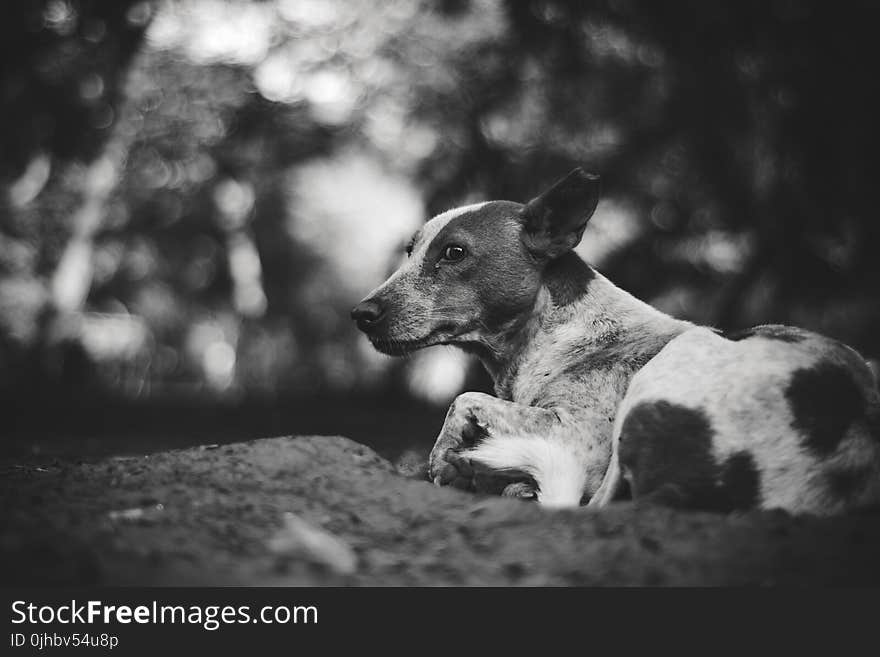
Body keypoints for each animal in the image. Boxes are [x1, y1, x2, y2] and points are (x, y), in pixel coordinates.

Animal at [350, 168, 880, 512]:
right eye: (410, 251)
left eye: (454, 253)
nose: (361, 314)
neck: (557, 333)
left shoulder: (576, 434)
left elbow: (463, 401)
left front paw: (447, 459)